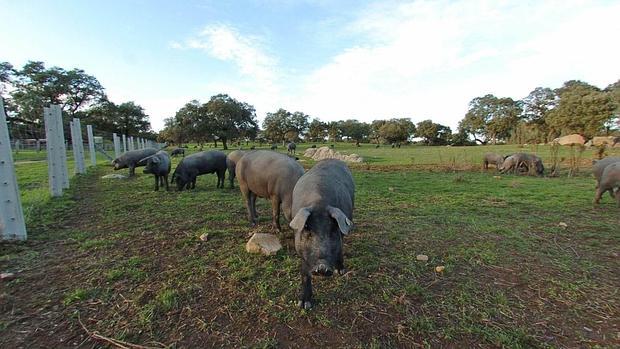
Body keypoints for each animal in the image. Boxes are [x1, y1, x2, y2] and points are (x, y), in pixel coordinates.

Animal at [290, 159, 354, 308]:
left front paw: (340, 272)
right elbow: (304, 273)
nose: (322, 267)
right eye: (307, 229)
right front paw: (304, 305)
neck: (318, 202)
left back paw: (340, 271)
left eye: (333, 230)